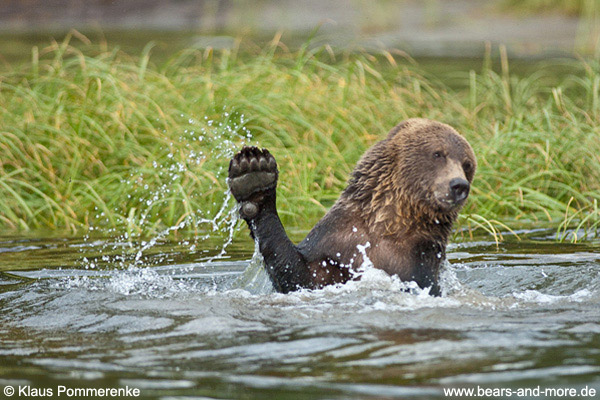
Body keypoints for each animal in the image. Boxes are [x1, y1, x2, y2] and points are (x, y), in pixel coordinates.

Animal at [227, 117, 476, 296]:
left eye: (467, 164)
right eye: (438, 154)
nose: (458, 185)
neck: (389, 226)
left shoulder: (423, 257)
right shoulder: (338, 240)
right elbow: (300, 274)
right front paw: (253, 172)